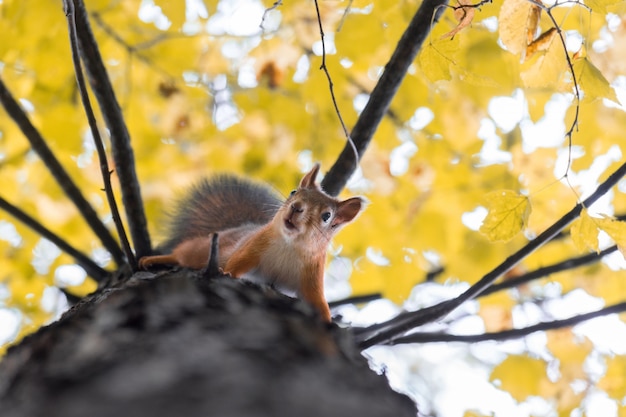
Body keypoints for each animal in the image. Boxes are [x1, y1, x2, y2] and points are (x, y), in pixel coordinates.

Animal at [138, 163, 364, 322]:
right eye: (293, 192)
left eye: (326, 216)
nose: (296, 207)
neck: (291, 246)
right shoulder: (252, 247)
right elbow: (237, 262)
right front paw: (228, 273)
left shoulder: (311, 276)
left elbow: (318, 300)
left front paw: (328, 320)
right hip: (201, 250)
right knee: (181, 254)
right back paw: (155, 259)